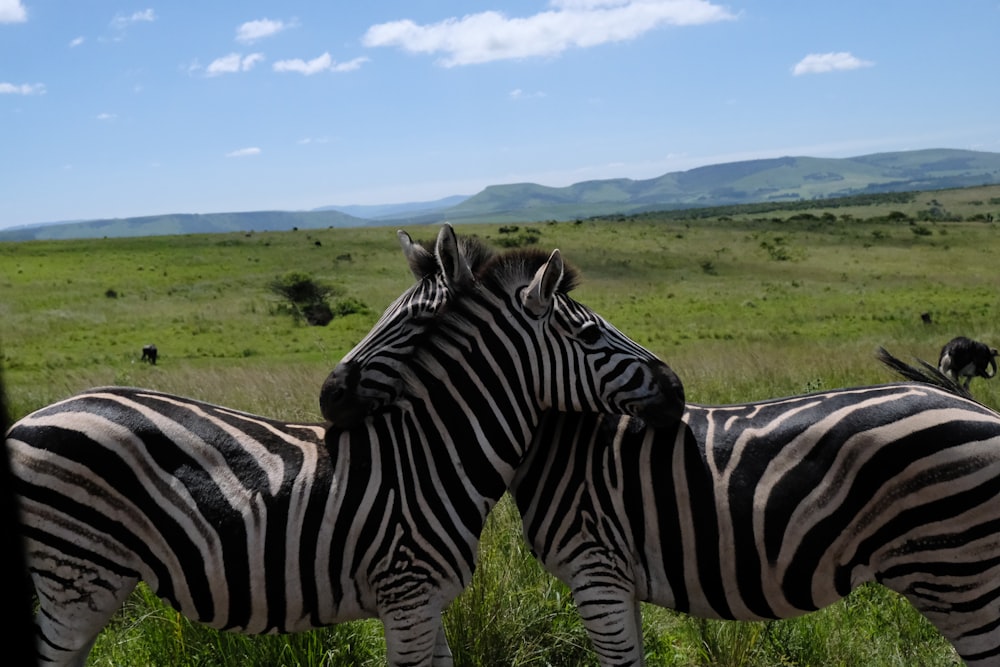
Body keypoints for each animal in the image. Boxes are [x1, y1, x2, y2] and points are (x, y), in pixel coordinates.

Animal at [5, 224, 680, 667]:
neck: (435, 454)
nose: (675, 390)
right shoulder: (405, 597)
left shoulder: (427, 604)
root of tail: (24, 422)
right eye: (590, 336)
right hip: (74, 578)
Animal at [512, 350, 1000, 667]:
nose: (672, 394)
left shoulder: (595, 565)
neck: (562, 443)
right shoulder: (619, 576)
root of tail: (979, 407)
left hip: (964, 579)